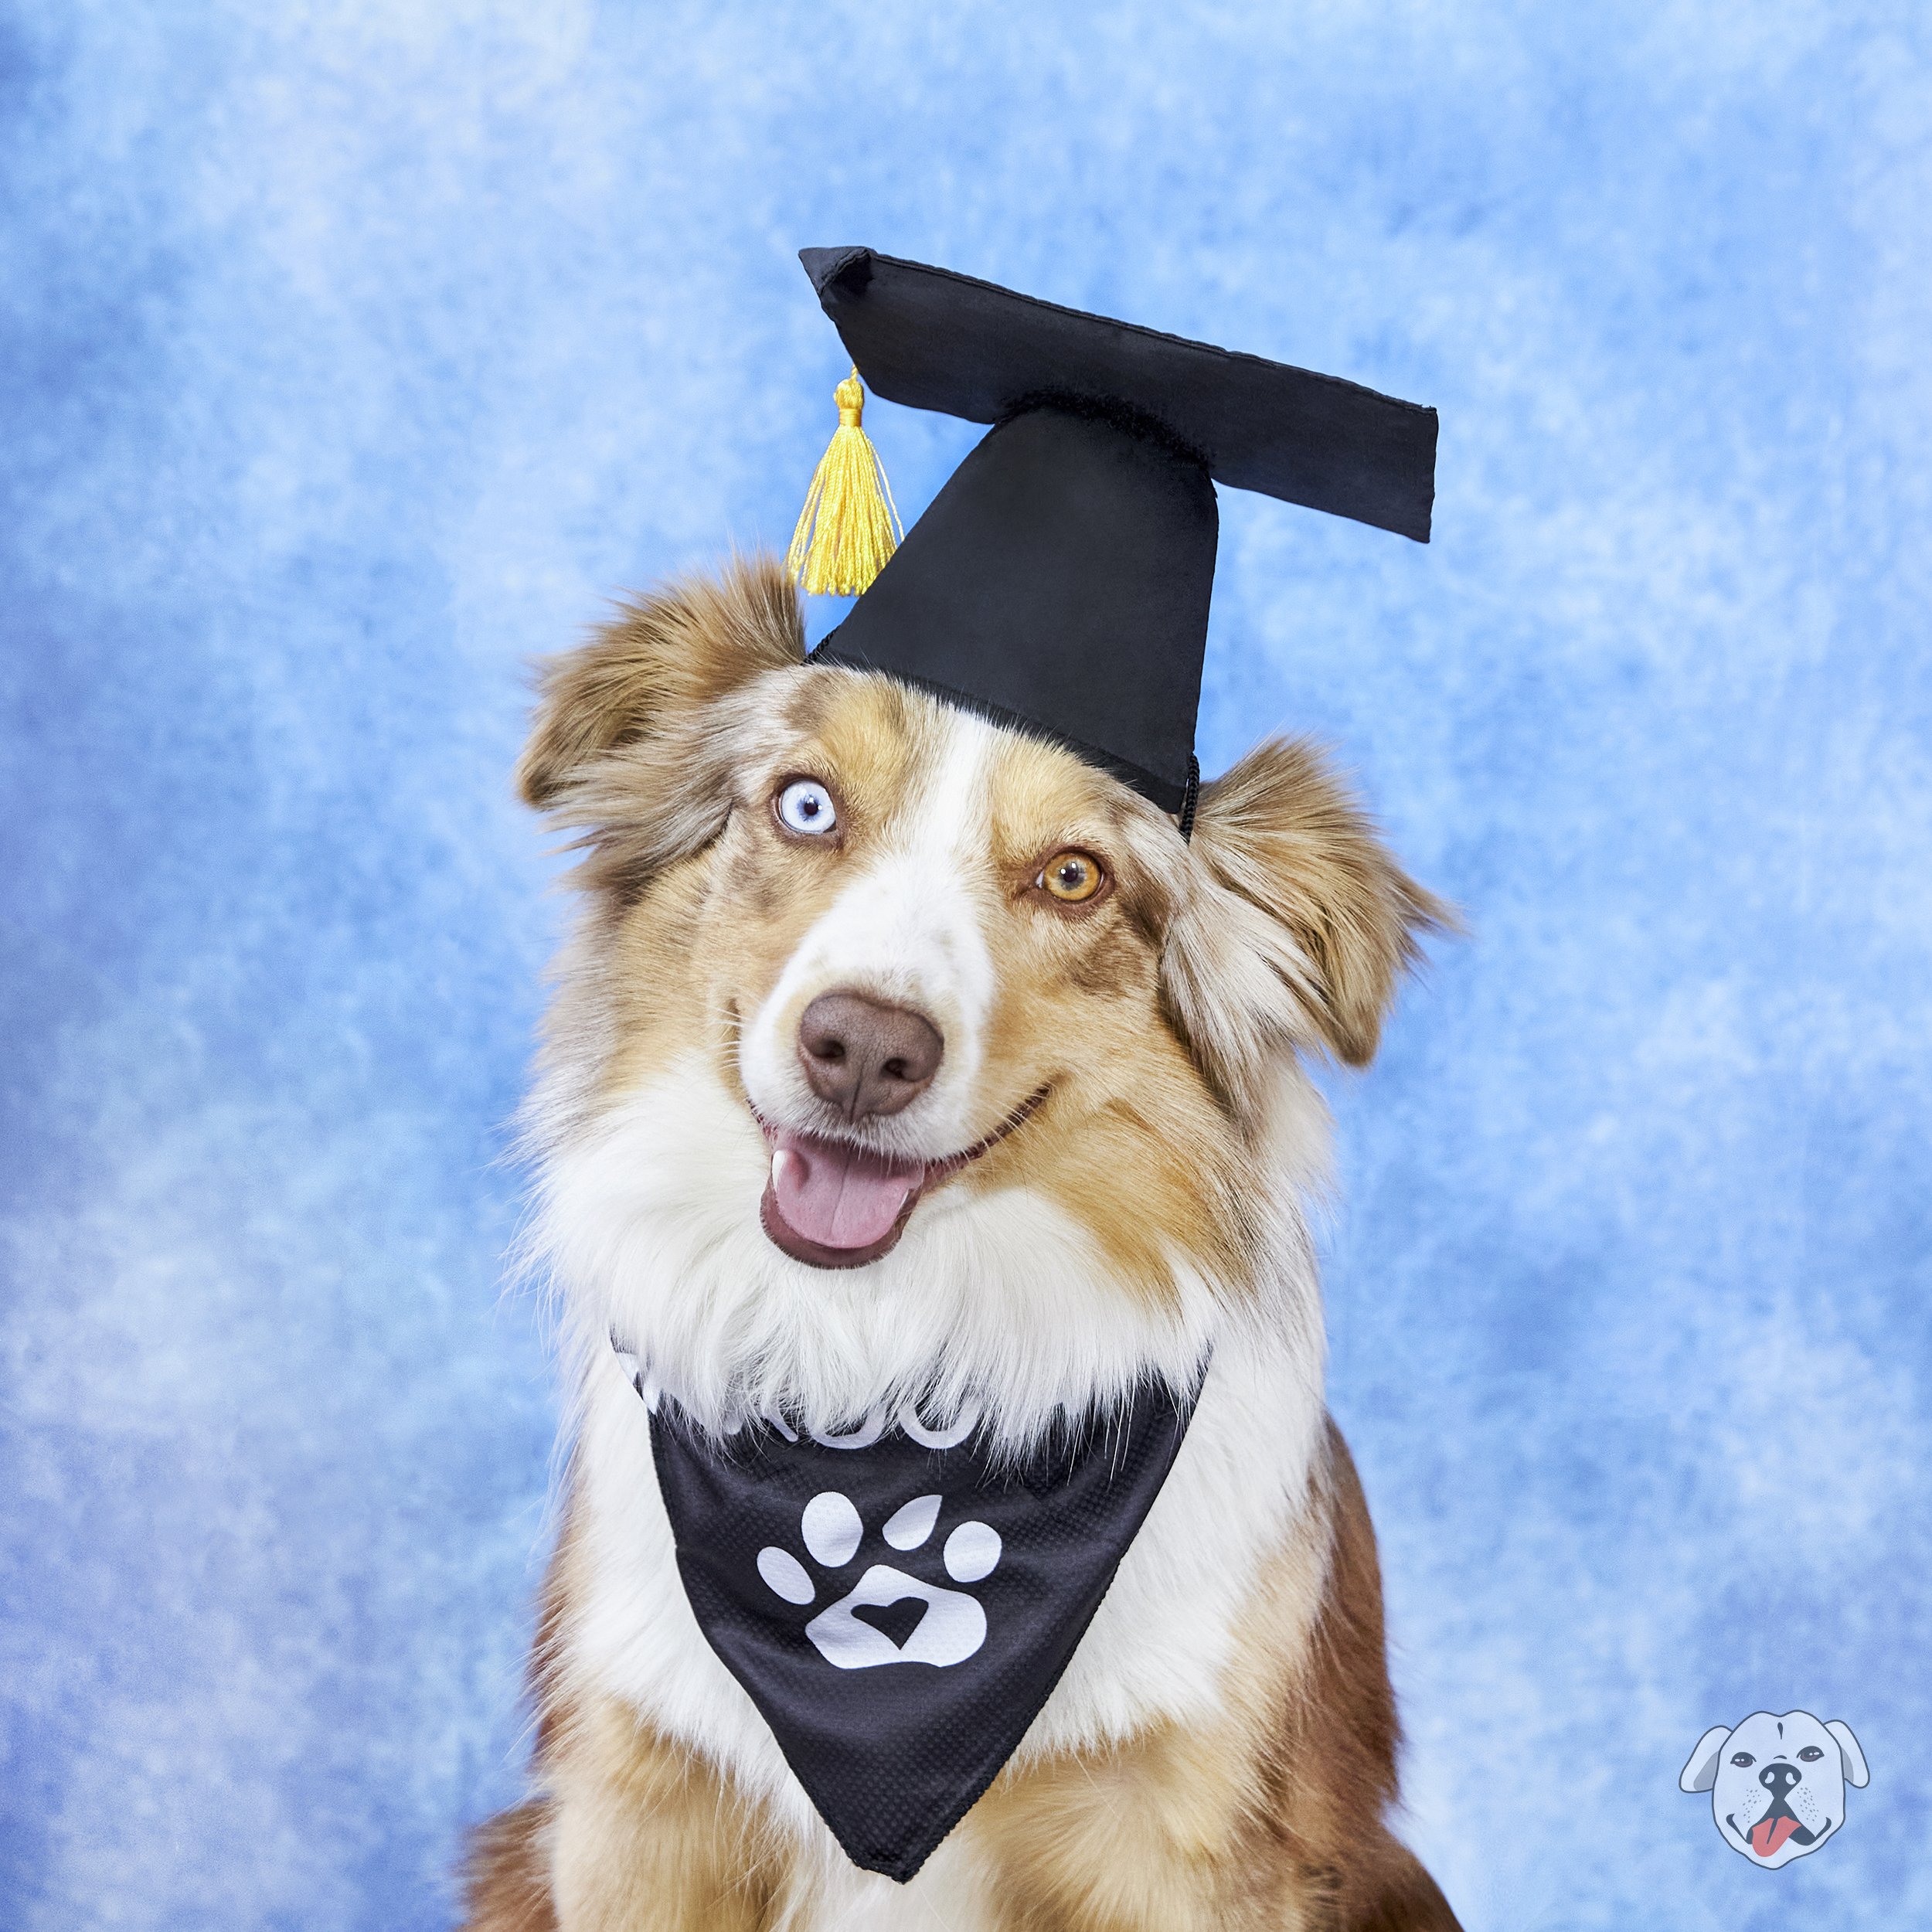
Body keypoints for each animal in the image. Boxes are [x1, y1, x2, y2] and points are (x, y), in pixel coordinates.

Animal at [462, 557, 1462, 1930]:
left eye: (1075, 877)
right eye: (807, 805)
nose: (864, 1049)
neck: (884, 1362)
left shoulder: (1183, 1841)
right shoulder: (636, 1804)